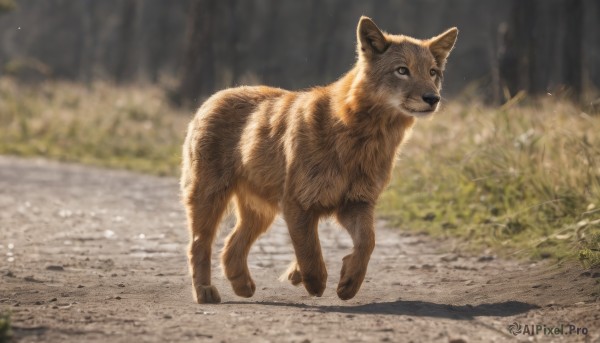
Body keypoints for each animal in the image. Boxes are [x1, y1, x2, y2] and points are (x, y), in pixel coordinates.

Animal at [180, 16, 458, 304]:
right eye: (402, 70)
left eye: (432, 72)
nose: (433, 98)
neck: (363, 137)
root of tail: (215, 96)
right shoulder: (298, 203)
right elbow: (309, 250)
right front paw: (313, 282)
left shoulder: (357, 202)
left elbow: (367, 243)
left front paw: (348, 283)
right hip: (208, 198)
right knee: (198, 244)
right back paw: (204, 291)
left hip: (260, 212)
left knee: (231, 246)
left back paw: (242, 285)